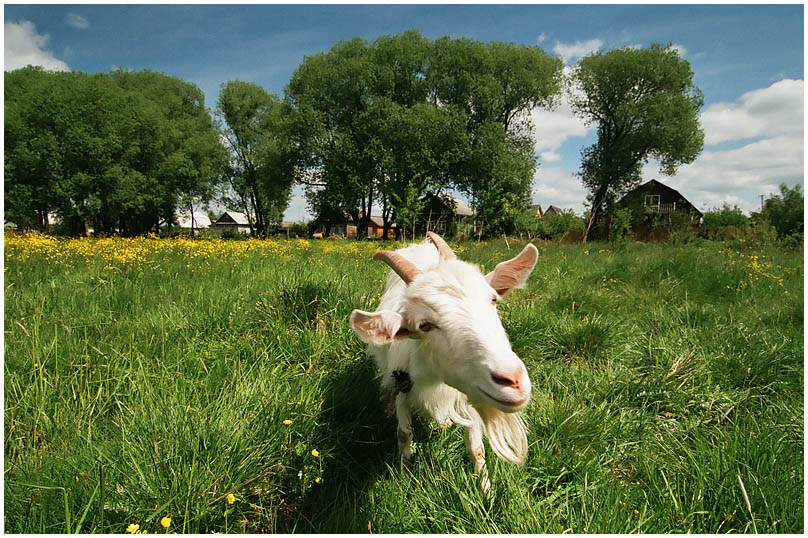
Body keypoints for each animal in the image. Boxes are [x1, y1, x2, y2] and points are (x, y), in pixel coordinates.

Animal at [352, 230, 536, 490]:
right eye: (424, 325)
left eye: (493, 300)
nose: (513, 380)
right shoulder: (401, 385)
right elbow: (404, 434)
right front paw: (404, 476)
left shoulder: (468, 393)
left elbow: (476, 447)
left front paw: (485, 490)